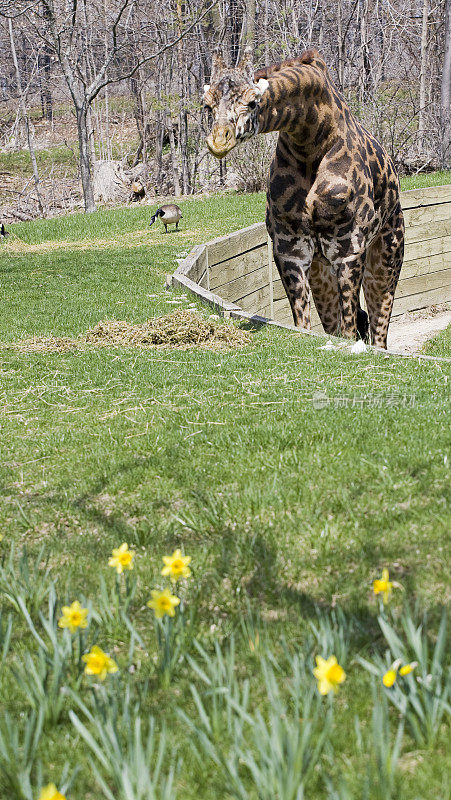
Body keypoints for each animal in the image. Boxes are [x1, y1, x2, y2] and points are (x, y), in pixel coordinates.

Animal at [203, 47, 404, 346]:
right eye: (207, 105)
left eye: (252, 102)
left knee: (378, 327)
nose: (219, 142)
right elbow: (306, 326)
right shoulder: (290, 248)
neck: (310, 141)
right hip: (322, 267)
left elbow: (349, 330)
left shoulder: (348, 248)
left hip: (387, 252)